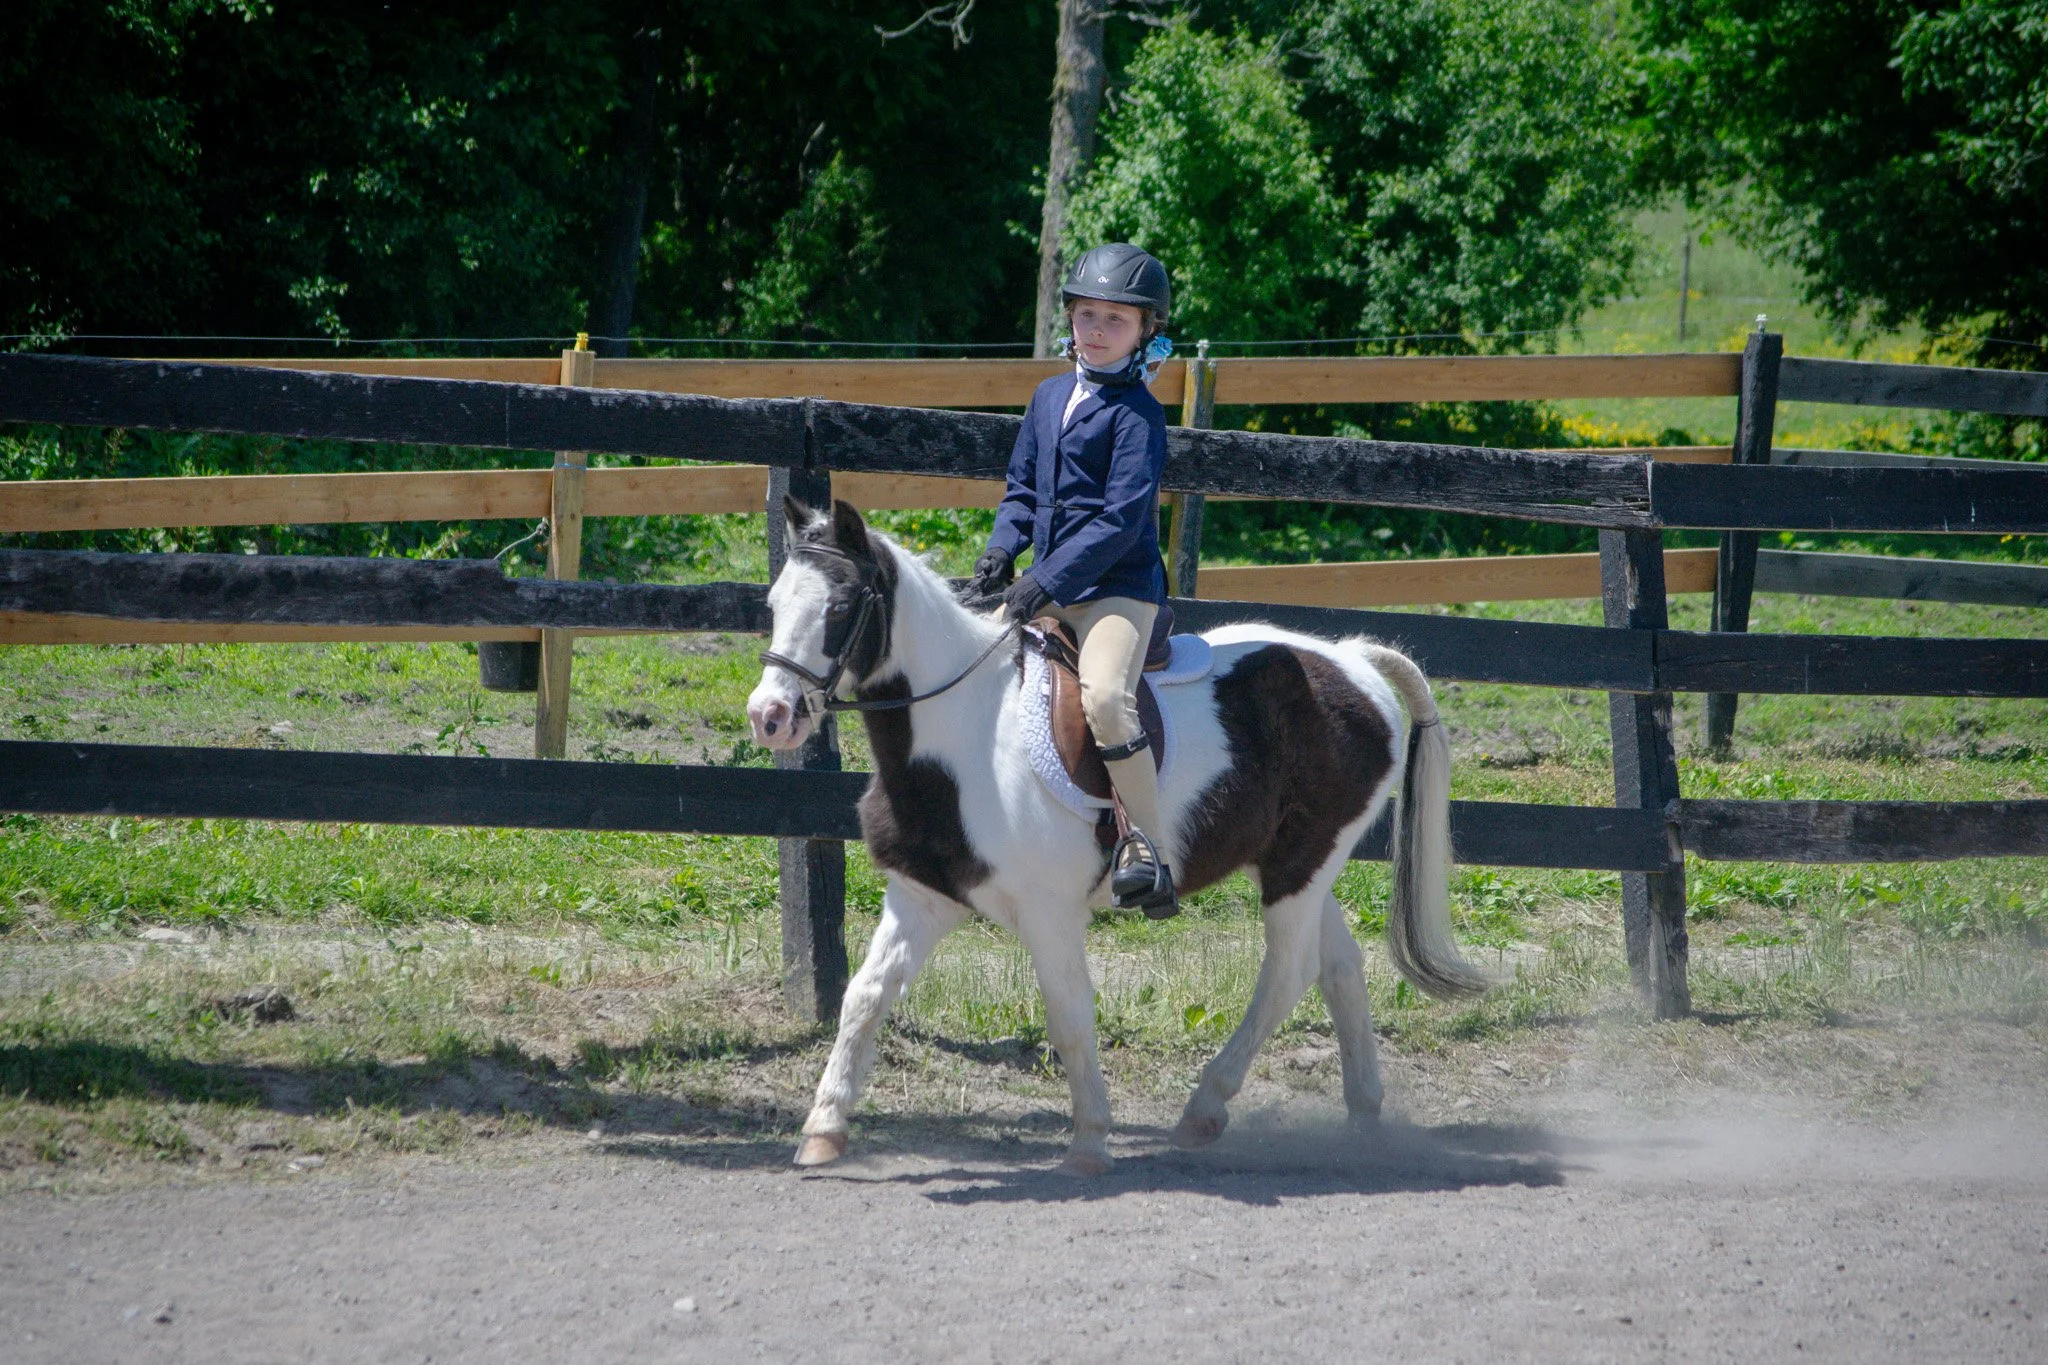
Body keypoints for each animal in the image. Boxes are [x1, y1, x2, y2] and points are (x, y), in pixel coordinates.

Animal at [745, 498, 1488, 1176]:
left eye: (842, 604)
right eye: (775, 603)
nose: (770, 716)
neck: (966, 735)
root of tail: (1352, 661)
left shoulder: (1048, 913)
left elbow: (1071, 1017)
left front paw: (1090, 1141)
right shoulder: (921, 896)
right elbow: (864, 997)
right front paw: (824, 1130)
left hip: (1303, 864)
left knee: (1288, 974)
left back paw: (1205, 1109)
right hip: (1292, 864)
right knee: (1339, 969)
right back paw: (1364, 1119)